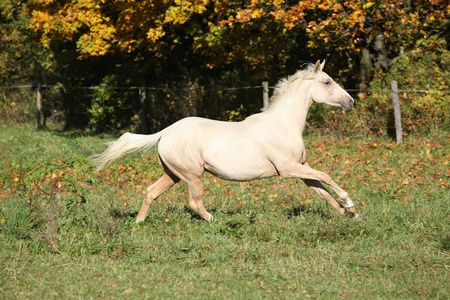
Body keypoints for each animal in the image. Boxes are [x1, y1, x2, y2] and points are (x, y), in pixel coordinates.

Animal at [92, 59, 362, 223]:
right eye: (327, 81)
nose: (351, 102)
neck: (283, 124)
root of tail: (165, 132)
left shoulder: (302, 168)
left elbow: (323, 191)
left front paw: (350, 214)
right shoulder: (288, 169)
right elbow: (327, 177)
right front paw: (349, 203)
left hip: (173, 174)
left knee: (150, 192)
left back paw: (138, 223)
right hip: (193, 175)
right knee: (195, 203)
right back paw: (218, 221)